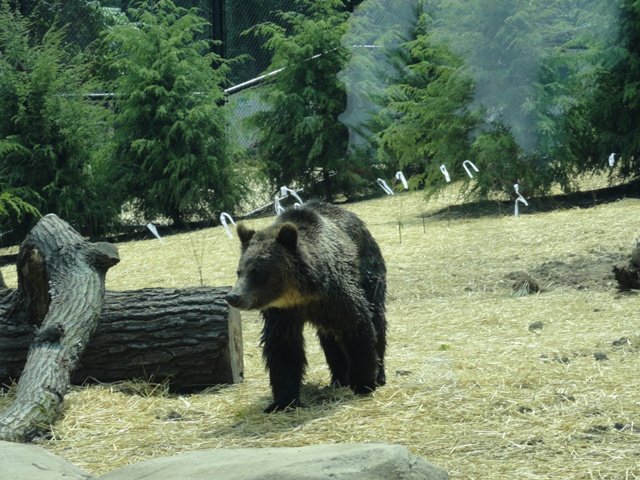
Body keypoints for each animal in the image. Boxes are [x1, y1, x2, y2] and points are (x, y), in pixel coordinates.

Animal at [225, 200, 387, 413]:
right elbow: (283, 347)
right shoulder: (283, 312)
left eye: (257, 271)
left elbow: (357, 325)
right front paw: (282, 401)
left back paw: (379, 374)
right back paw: (338, 378)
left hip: (369, 273)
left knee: (377, 318)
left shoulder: (336, 295)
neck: (302, 294)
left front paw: (363, 382)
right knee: (329, 339)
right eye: (239, 271)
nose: (233, 296)